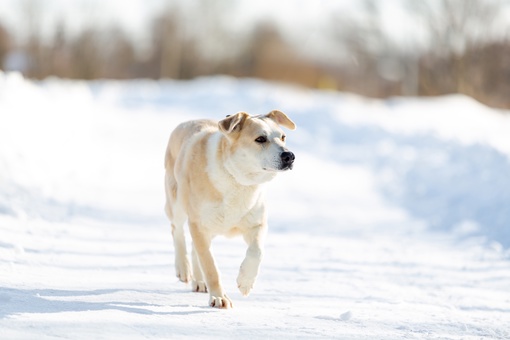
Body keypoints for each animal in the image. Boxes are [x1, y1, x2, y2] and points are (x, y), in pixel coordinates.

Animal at [164, 111, 294, 308]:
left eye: (283, 137)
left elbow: (257, 252)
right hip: (177, 202)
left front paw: (245, 282)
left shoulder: (256, 224)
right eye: (260, 139)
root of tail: (188, 121)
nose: (289, 156)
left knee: (195, 247)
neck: (236, 179)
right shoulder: (199, 224)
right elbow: (210, 266)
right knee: (177, 230)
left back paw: (199, 281)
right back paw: (184, 269)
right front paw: (219, 298)